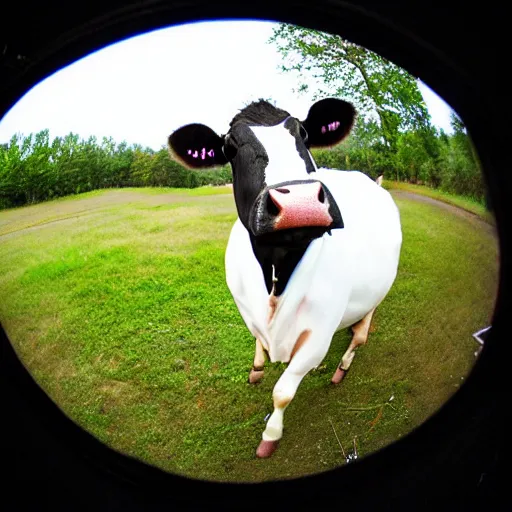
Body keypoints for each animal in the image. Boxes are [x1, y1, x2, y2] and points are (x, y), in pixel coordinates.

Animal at [167, 98, 400, 458]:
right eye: (229, 147)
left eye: (304, 133)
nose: (300, 204)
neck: (276, 271)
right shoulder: (245, 307)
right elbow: (258, 341)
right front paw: (257, 367)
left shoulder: (318, 336)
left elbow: (283, 392)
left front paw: (270, 436)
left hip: (378, 292)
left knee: (361, 334)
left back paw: (342, 365)